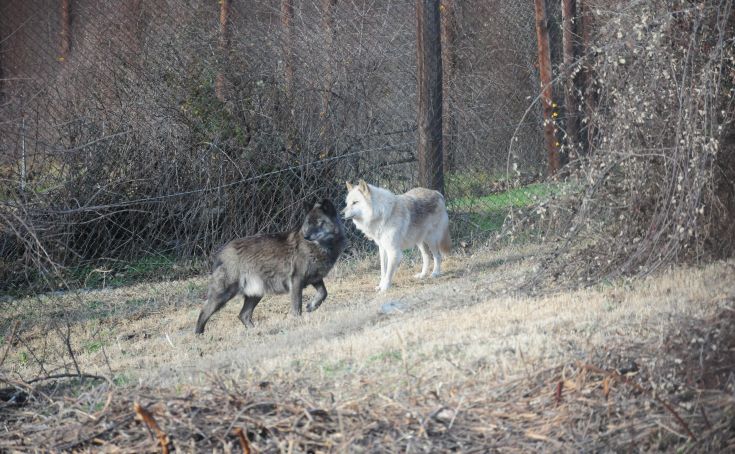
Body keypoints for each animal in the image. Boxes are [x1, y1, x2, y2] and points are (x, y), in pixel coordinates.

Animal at [194, 199, 346, 334]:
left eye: (319, 222)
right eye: (308, 223)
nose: (306, 236)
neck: (320, 247)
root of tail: (221, 253)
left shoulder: (315, 279)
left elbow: (323, 293)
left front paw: (312, 306)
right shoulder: (297, 281)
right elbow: (297, 307)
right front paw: (298, 322)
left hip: (255, 295)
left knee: (243, 315)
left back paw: (255, 332)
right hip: (224, 294)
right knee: (204, 312)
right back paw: (198, 335)